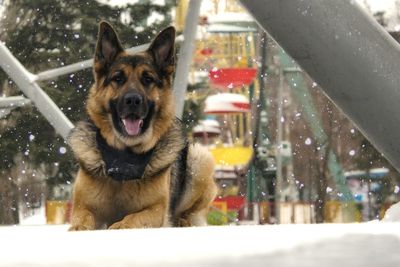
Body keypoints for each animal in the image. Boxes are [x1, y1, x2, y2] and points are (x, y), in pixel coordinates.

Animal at [69, 22, 219, 231]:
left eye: (148, 79)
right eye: (118, 78)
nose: (133, 100)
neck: (123, 157)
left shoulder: (155, 210)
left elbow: (132, 218)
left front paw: (118, 226)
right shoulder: (83, 208)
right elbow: (81, 222)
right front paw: (79, 229)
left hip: (200, 160)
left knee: (189, 213)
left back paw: (184, 222)